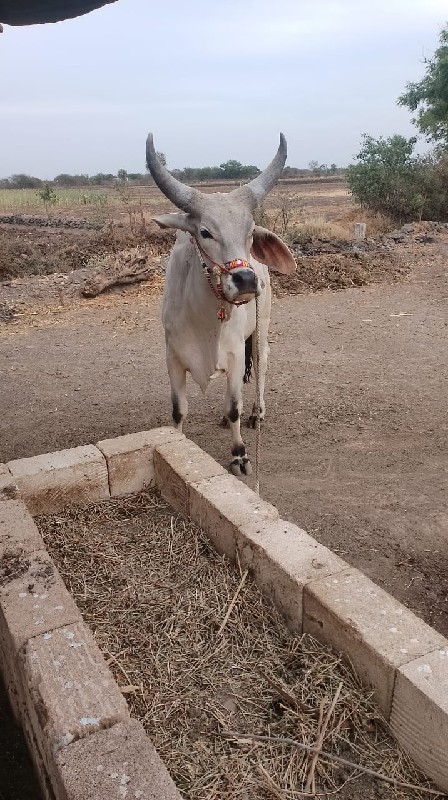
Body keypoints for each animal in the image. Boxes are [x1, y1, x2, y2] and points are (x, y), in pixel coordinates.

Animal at [145, 133, 296, 476]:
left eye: (250, 232)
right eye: (204, 232)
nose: (246, 280)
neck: (206, 320)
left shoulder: (236, 354)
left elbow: (234, 406)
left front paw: (239, 454)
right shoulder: (172, 357)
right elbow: (179, 410)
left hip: (261, 330)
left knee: (261, 366)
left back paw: (257, 413)